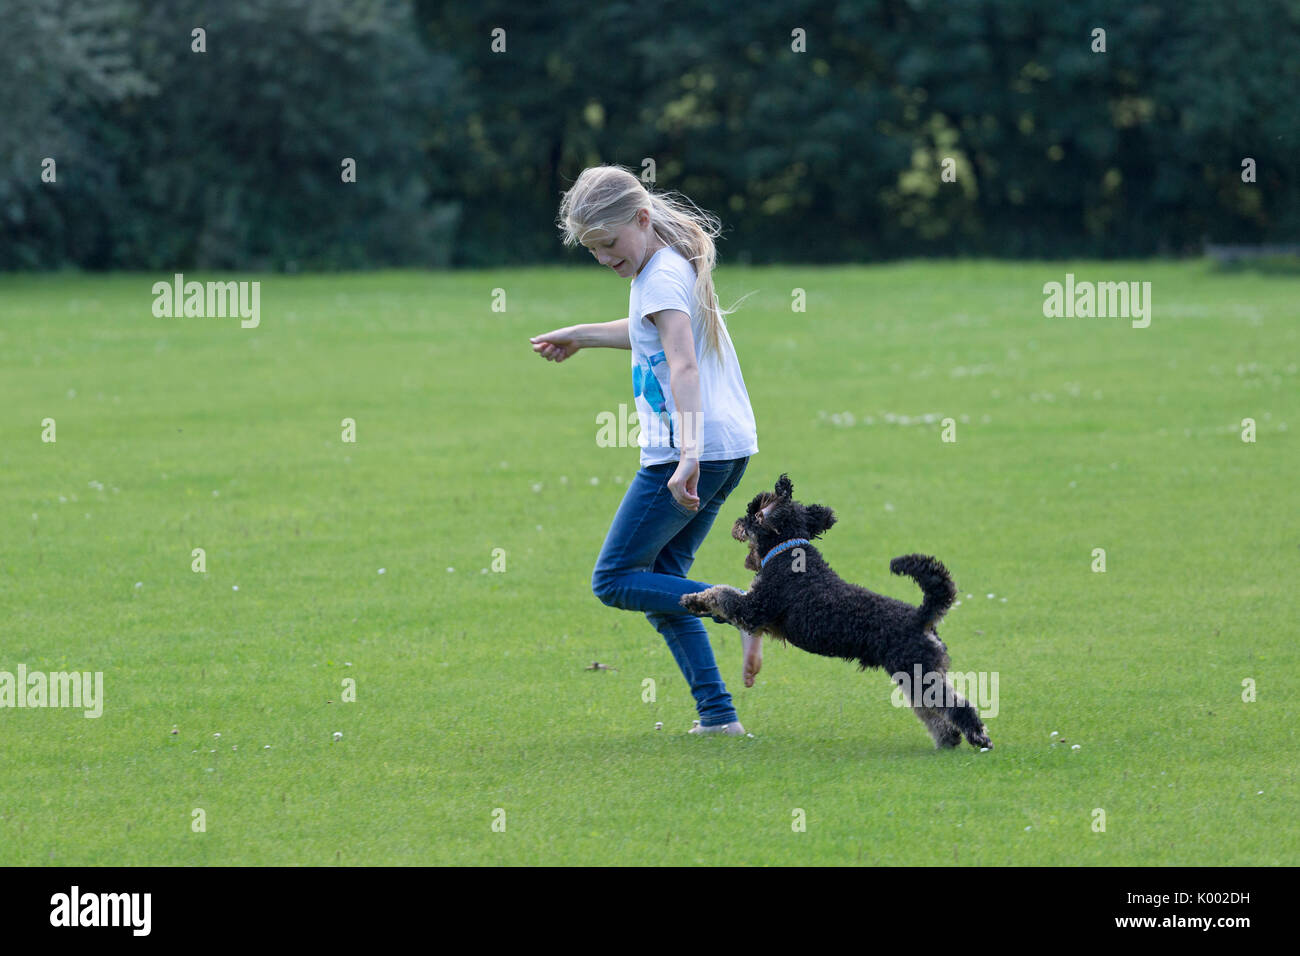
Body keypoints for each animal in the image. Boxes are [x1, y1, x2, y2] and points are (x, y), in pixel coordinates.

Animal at [681, 476, 993, 749]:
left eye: (754, 510)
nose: (736, 524)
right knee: (931, 712)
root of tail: (921, 617)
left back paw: (978, 736)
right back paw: (948, 740)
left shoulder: (755, 609)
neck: (789, 554)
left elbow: (722, 593)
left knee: (956, 706)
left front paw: (694, 599)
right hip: (913, 674)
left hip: (918, 671)